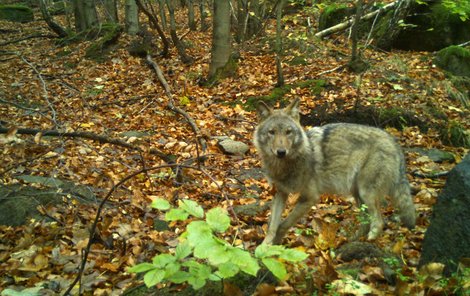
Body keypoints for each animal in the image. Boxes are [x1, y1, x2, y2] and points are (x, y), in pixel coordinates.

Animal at [253, 98, 414, 244]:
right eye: (272, 132)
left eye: (288, 132)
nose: (281, 152)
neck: (285, 165)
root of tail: (394, 142)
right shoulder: (280, 193)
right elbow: (272, 226)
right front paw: (264, 247)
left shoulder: (310, 198)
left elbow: (283, 224)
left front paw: (275, 246)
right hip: (357, 194)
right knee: (366, 222)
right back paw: (350, 241)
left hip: (366, 193)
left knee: (379, 221)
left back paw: (368, 242)